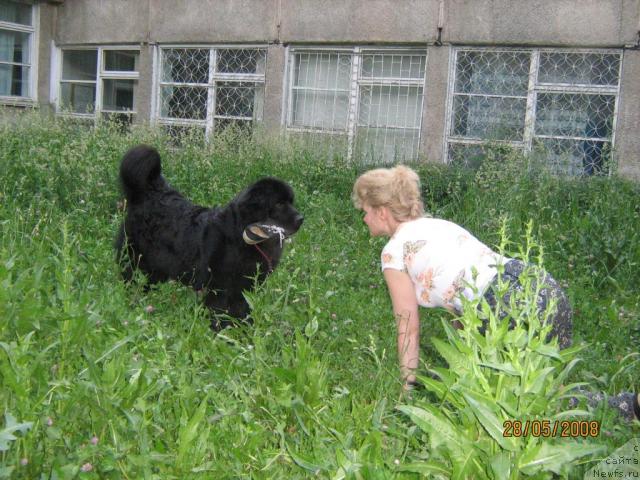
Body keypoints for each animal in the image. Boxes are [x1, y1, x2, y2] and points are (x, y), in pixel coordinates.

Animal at [114, 143, 302, 330]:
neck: (241, 238)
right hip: (136, 260)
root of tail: (151, 192)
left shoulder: (245, 287)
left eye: (291, 202)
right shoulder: (220, 285)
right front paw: (221, 330)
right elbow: (220, 309)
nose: (301, 219)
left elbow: (243, 308)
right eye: (279, 204)